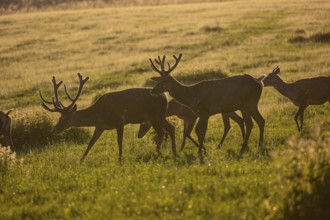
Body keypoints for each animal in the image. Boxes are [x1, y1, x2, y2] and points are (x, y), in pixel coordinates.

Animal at [39, 73, 177, 161]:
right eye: (58, 118)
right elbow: (90, 143)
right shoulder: (100, 127)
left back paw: (171, 152)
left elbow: (119, 141)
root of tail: (165, 97)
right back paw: (159, 152)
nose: (53, 130)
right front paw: (81, 160)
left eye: (65, 119)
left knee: (169, 128)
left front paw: (120, 160)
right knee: (162, 132)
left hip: (157, 115)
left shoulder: (119, 121)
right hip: (154, 118)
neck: (99, 114)